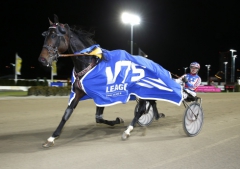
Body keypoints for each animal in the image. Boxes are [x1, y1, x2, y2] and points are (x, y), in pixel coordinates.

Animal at [39, 14, 159, 148]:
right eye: (45, 35)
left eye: (54, 35)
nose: (42, 59)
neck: (88, 64)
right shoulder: (79, 92)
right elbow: (68, 114)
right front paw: (52, 138)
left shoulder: (103, 94)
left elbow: (99, 117)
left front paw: (118, 121)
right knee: (148, 104)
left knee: (142, 108)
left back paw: (128, 130)